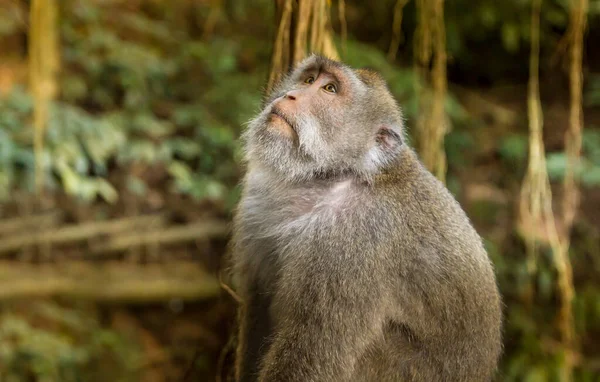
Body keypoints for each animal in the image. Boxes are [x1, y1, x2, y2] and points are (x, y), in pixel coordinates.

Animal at [229, 54, 502, 382]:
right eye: (309, 80)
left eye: (330, 89)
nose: (290, 95)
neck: (331, 177)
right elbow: (257, 307)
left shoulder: (353, 242)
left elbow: (315, 353)